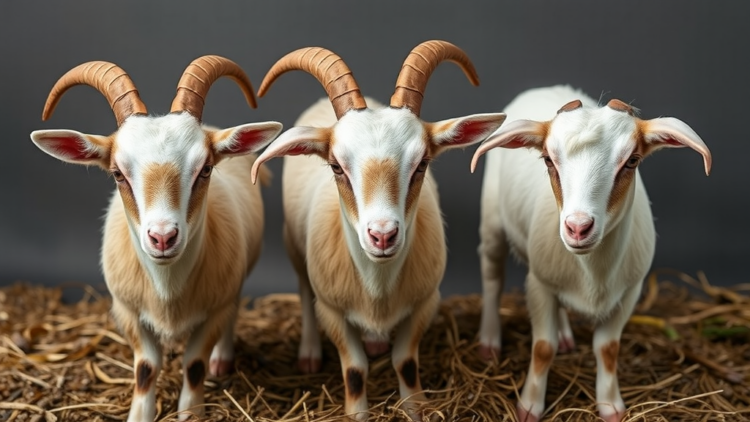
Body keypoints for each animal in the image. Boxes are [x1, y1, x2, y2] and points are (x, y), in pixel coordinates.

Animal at [29, 56, 283, 422]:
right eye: (118, 174)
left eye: (206, 169)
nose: (163, 237)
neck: (167, 289)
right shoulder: (127, 312)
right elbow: (146, 369)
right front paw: (140, 414)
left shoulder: (215, 309)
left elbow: (194, 365)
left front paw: (191, 412)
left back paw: (222, 358)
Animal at [250, 41, 507, 420]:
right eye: (336, 166)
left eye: (422, 164)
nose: (383, 235)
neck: (378, 286)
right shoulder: (332, 311)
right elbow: (355, 369)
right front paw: (358, 412)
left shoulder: (426, 302)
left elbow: (405, 362)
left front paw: (415, 408)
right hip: (293, 246)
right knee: (303, 291)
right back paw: (310, 353)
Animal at [470, 85, 712, 422]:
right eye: (548, 160)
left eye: (632, 161)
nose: (578, 227)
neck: (592, 269)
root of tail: (542, 87)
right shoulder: (538, 284)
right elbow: (543, 347)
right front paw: (529, 406)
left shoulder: (629, 291)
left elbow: (608, 348)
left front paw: (610, 406)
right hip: (492, 217)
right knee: (493, 276)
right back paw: (490, 341)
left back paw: (565, 335)